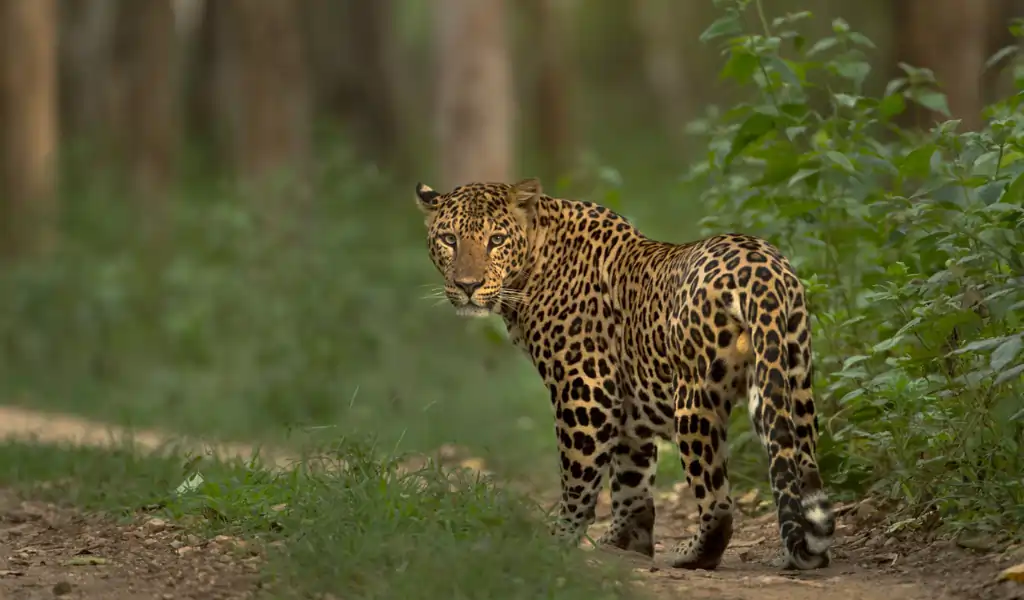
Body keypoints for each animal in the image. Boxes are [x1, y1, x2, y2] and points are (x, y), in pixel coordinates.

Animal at [414, 177, 835, 570]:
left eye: (496, 240)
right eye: (449, 239)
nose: (468, 286)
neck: (534, 262)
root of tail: (763, 272)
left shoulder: (586, 390)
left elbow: (578, 475)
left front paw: (560, 540)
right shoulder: (631, 402)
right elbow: (632, 476)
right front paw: (626, 542)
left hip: (695, 399)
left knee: (718, 501)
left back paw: (693, 554)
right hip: (791, 379)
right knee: (800, 465)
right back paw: (805, 551)